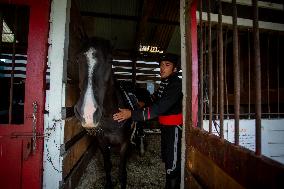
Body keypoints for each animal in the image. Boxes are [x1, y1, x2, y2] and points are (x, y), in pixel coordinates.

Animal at [74, 37, 134, 188]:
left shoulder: (125, 144)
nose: (88, 113)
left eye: (111, 59)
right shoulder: (102, 142)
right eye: (77, 58)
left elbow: (122, 169)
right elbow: (108, 165)